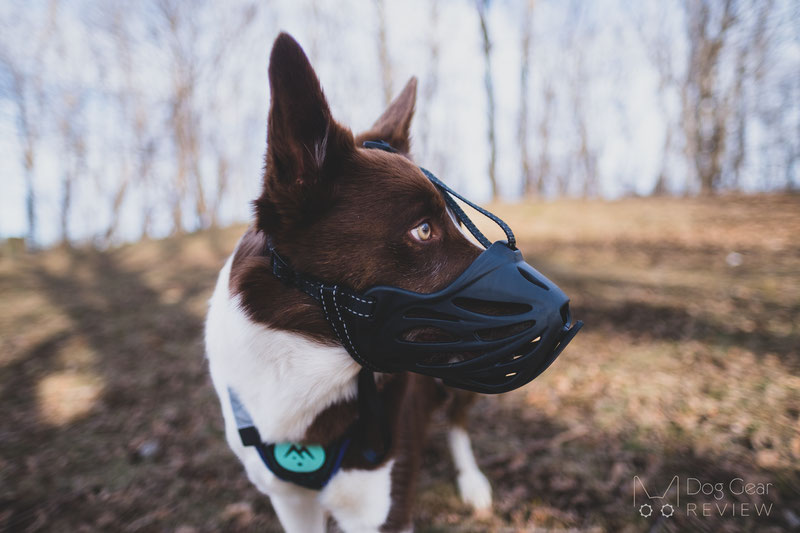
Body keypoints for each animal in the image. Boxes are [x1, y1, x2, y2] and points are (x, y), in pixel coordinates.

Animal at [205, 34, 500, 532]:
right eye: (423, 230)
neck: (305, 365)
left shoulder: (381, 509)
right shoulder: (290, 501)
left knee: (458, 423)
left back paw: (473, 482)